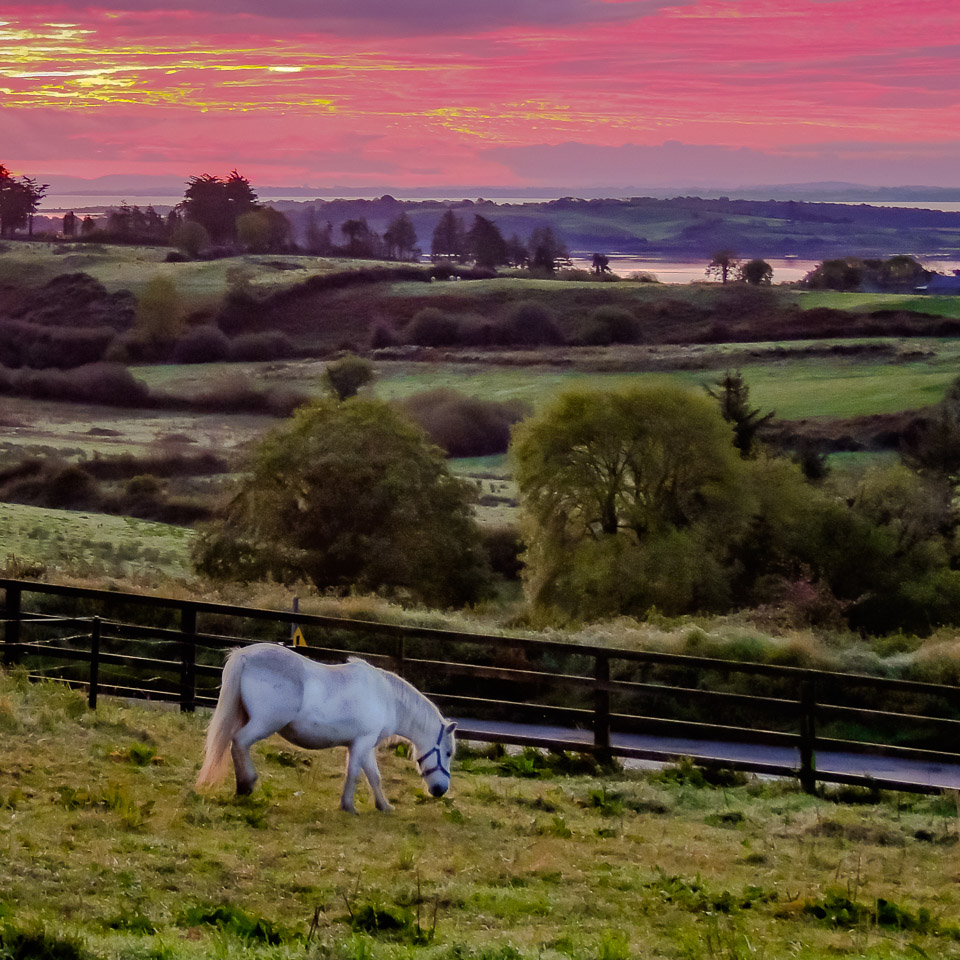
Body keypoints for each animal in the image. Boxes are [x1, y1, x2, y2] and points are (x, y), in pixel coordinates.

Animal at [195, 640, 458, 812]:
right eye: (447, 752)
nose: (440, 790)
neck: (386, 698)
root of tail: (244, 655)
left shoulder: (364, 745)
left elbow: (373, 776)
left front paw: (383, 805)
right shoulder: (362, 743)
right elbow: (354, 773)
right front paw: (348, 806)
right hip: (264, 723)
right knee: (239, 742)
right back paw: (246, 785)